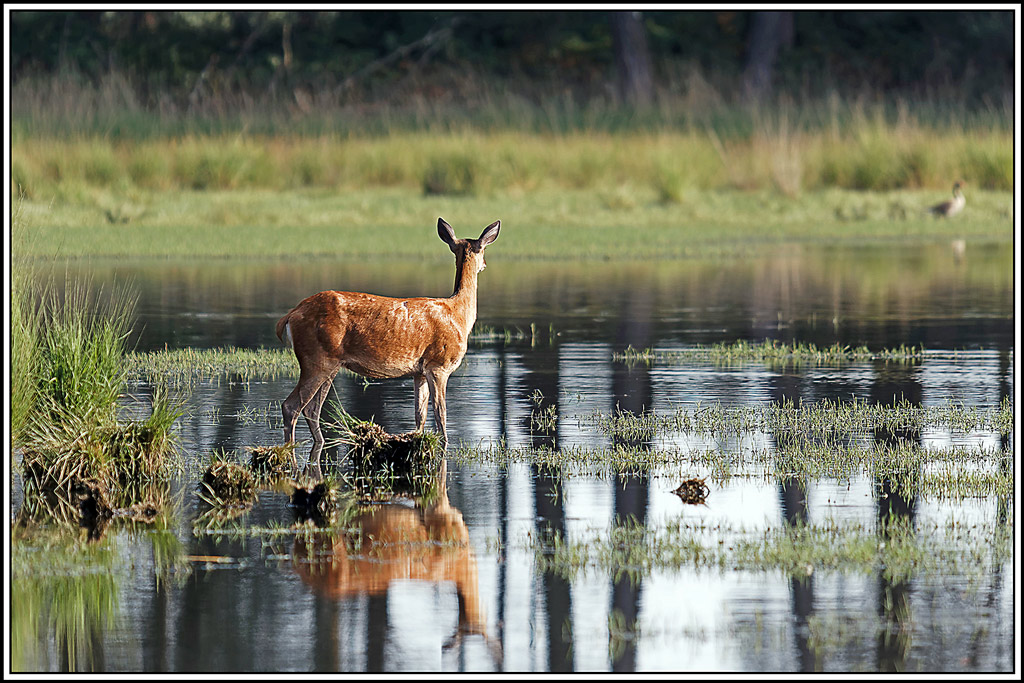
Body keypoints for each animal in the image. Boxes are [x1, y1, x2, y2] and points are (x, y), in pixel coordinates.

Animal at [276, 218, 500, 454]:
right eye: (483, 249)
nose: (484, 264)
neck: (458, 314)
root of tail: (290, 315)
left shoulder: (420, 371)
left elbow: (420, 416)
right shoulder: (440, 365)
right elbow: (441, 416)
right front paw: (445, 445)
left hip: (330, 364)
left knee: (312, 409)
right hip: (316, 358)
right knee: (291, 406)